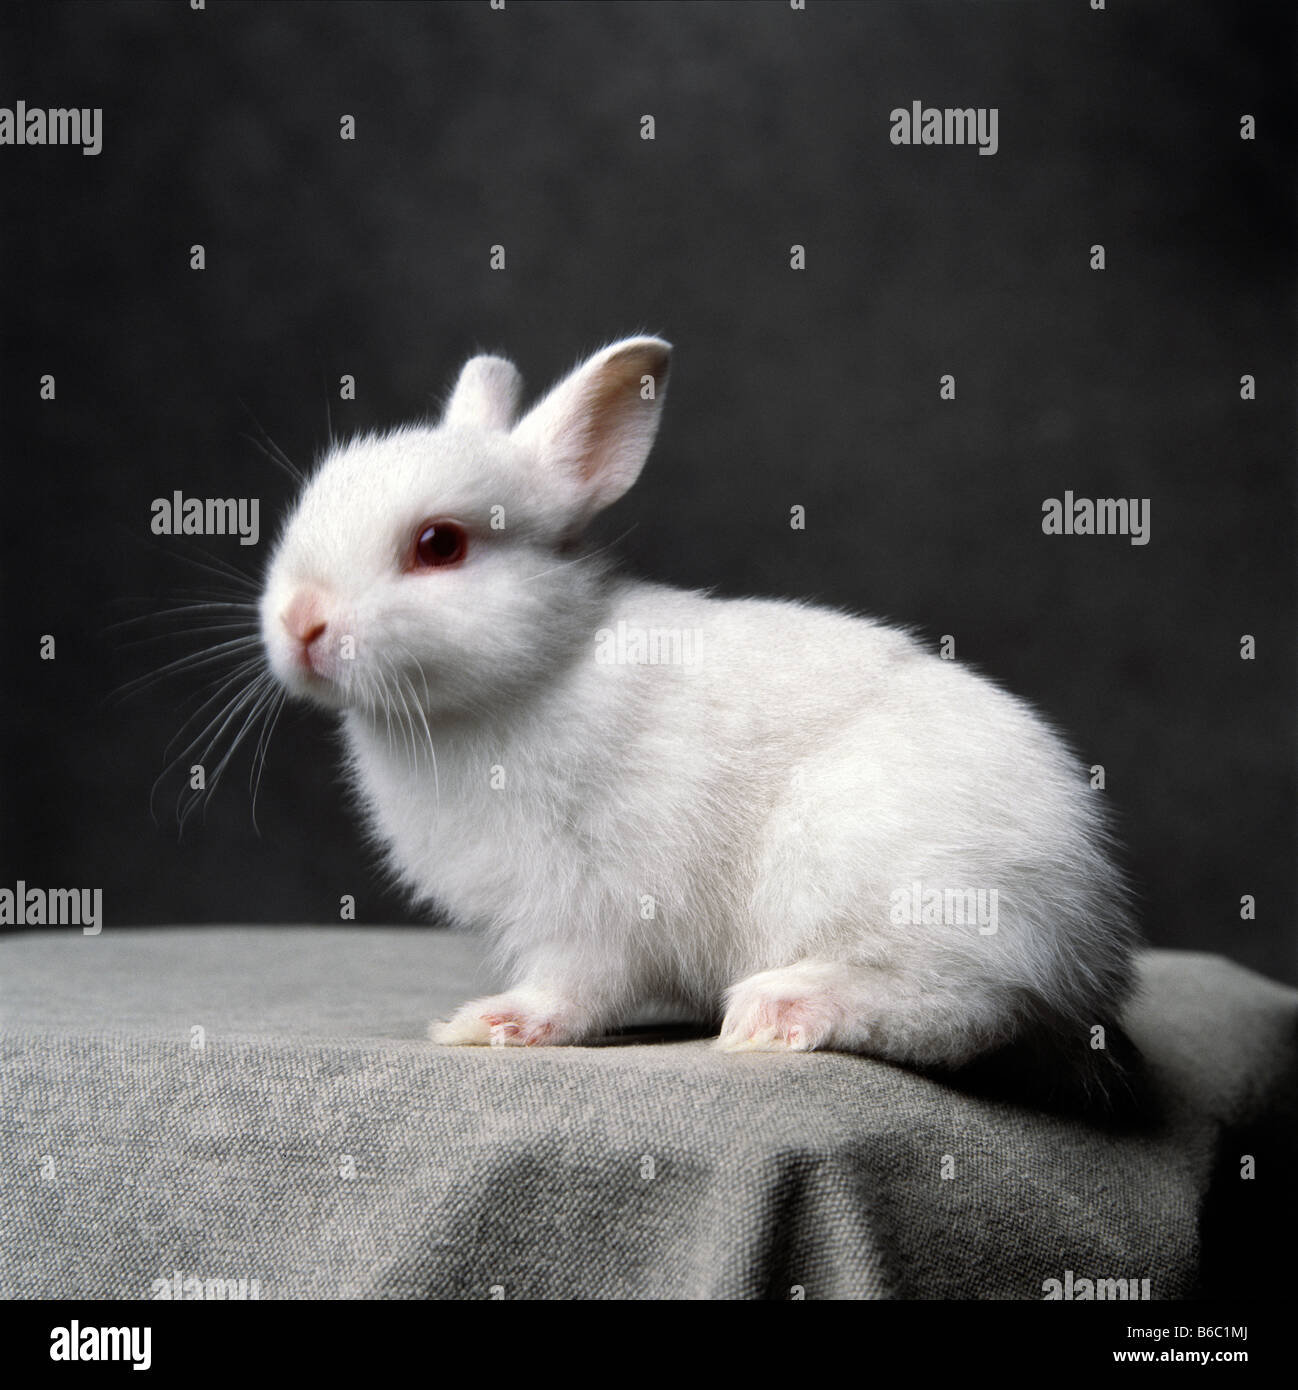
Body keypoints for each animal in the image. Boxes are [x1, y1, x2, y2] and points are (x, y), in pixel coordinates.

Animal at [260, 335, 1138, 1084]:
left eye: (439, 544)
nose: (300, 623)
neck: (538, 671)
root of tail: (1087, 935)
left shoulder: (592, 900)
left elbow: (575, 985)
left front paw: (494, 1023)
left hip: (873, 871)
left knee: (964, 1006)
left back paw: (778, 1010)